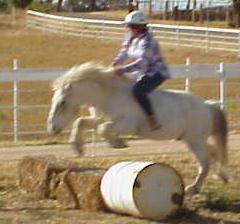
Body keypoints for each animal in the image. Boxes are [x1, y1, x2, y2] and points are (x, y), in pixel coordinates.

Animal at [47, 62, 229, 195]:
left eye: (62, 102)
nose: (51, 128)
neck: (109, 95)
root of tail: (207, 106)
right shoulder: (97, 119)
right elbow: (82, 122)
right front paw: (78, 147)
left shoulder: (127, 125)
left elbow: (103, 129)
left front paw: (118, 143)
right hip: (193, 140)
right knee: (213, 154)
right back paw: (221, 177)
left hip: (195, 141)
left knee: (205, 162)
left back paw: (193, 188)